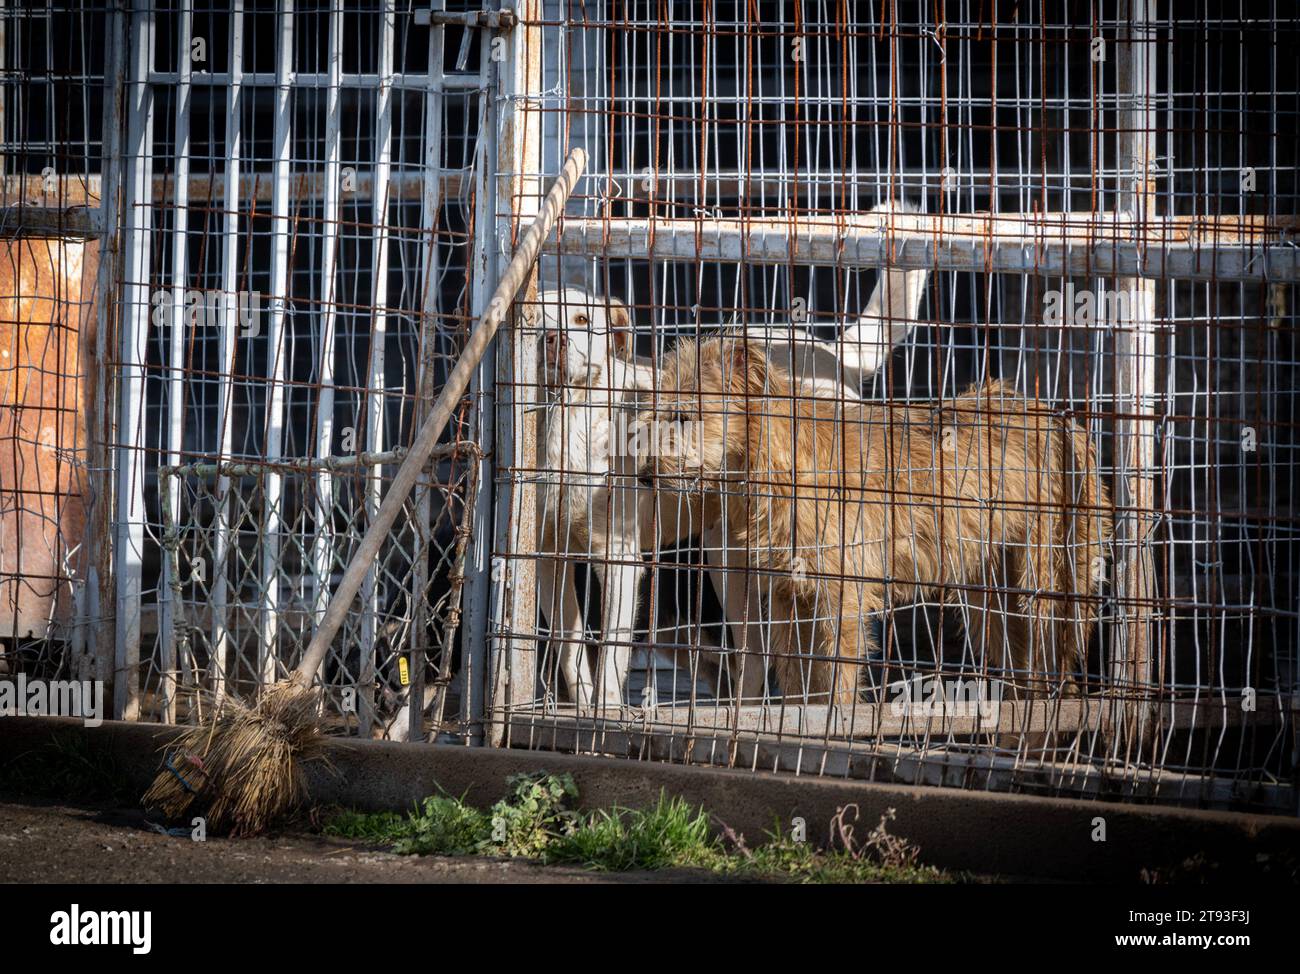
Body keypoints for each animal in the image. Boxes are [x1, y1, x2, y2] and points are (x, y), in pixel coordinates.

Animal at [533, 205, 930, 712]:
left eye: (582, 319)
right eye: (532, 318)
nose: (553, 339)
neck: (568, 420)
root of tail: (829, 352)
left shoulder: (619, 558)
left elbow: (611, 652)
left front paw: (604, 712)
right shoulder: (548, 558)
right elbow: (568, 648)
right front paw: (582, 705)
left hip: (745, 552)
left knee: (759, 652)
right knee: (747, 656)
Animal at [634, 338, 1112, 702]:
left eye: (684, 416)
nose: (644, 476)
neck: (774, 459)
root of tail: (1064, 422)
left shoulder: (839, 598)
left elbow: (835, 679)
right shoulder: (789, 596)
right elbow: (797, 679)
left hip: (1045, 575)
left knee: (1052, 651)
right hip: (990, 590)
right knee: (1019, 653)